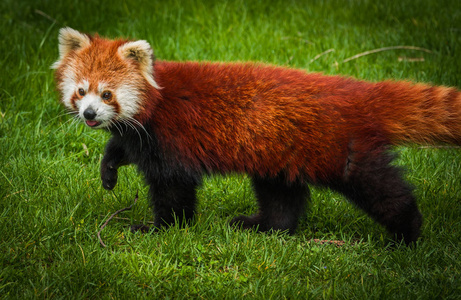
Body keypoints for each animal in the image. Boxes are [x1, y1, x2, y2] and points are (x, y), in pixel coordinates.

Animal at [52, 27, 458, 245]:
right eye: (82, 91)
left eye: (107, 94)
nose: (89, 115)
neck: (154, 102)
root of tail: (356, 92)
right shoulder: (139, 134)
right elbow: (119, 145)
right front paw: (108, 170)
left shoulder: (171, 140)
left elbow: (174, 190)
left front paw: (160, 229)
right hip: (278, 152)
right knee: (282, 198)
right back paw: (262, 226)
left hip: (339, 149)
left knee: (379, 187)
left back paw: (406, 234)